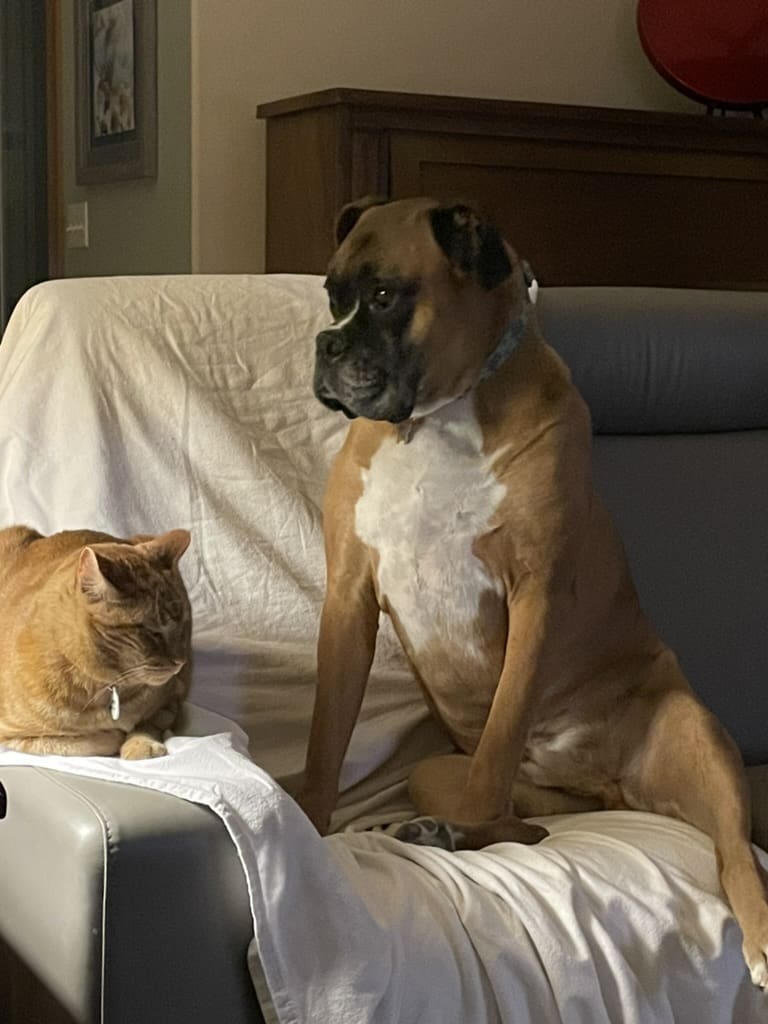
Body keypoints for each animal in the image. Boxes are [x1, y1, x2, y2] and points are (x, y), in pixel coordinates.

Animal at [0, 528, 191, 761]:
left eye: (183, 623)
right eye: (151, 630)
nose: (180, 662)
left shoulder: (171, 702)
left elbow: (147, 724)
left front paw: (141, 744)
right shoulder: (15, 736)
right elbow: (89, 741)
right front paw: (115, 736)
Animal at [296, 195, 768, 987]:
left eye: (386, 295)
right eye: (333, 295)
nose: (326, 346)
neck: (437, 420)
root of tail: (610, 789)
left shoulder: (535, 601)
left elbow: (499, 738)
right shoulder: (350, 601)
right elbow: (327, 736)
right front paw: (305, 816)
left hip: (697, 738)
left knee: (735, 852)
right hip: (432, 771)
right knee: (532, 826)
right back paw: (449, 830)